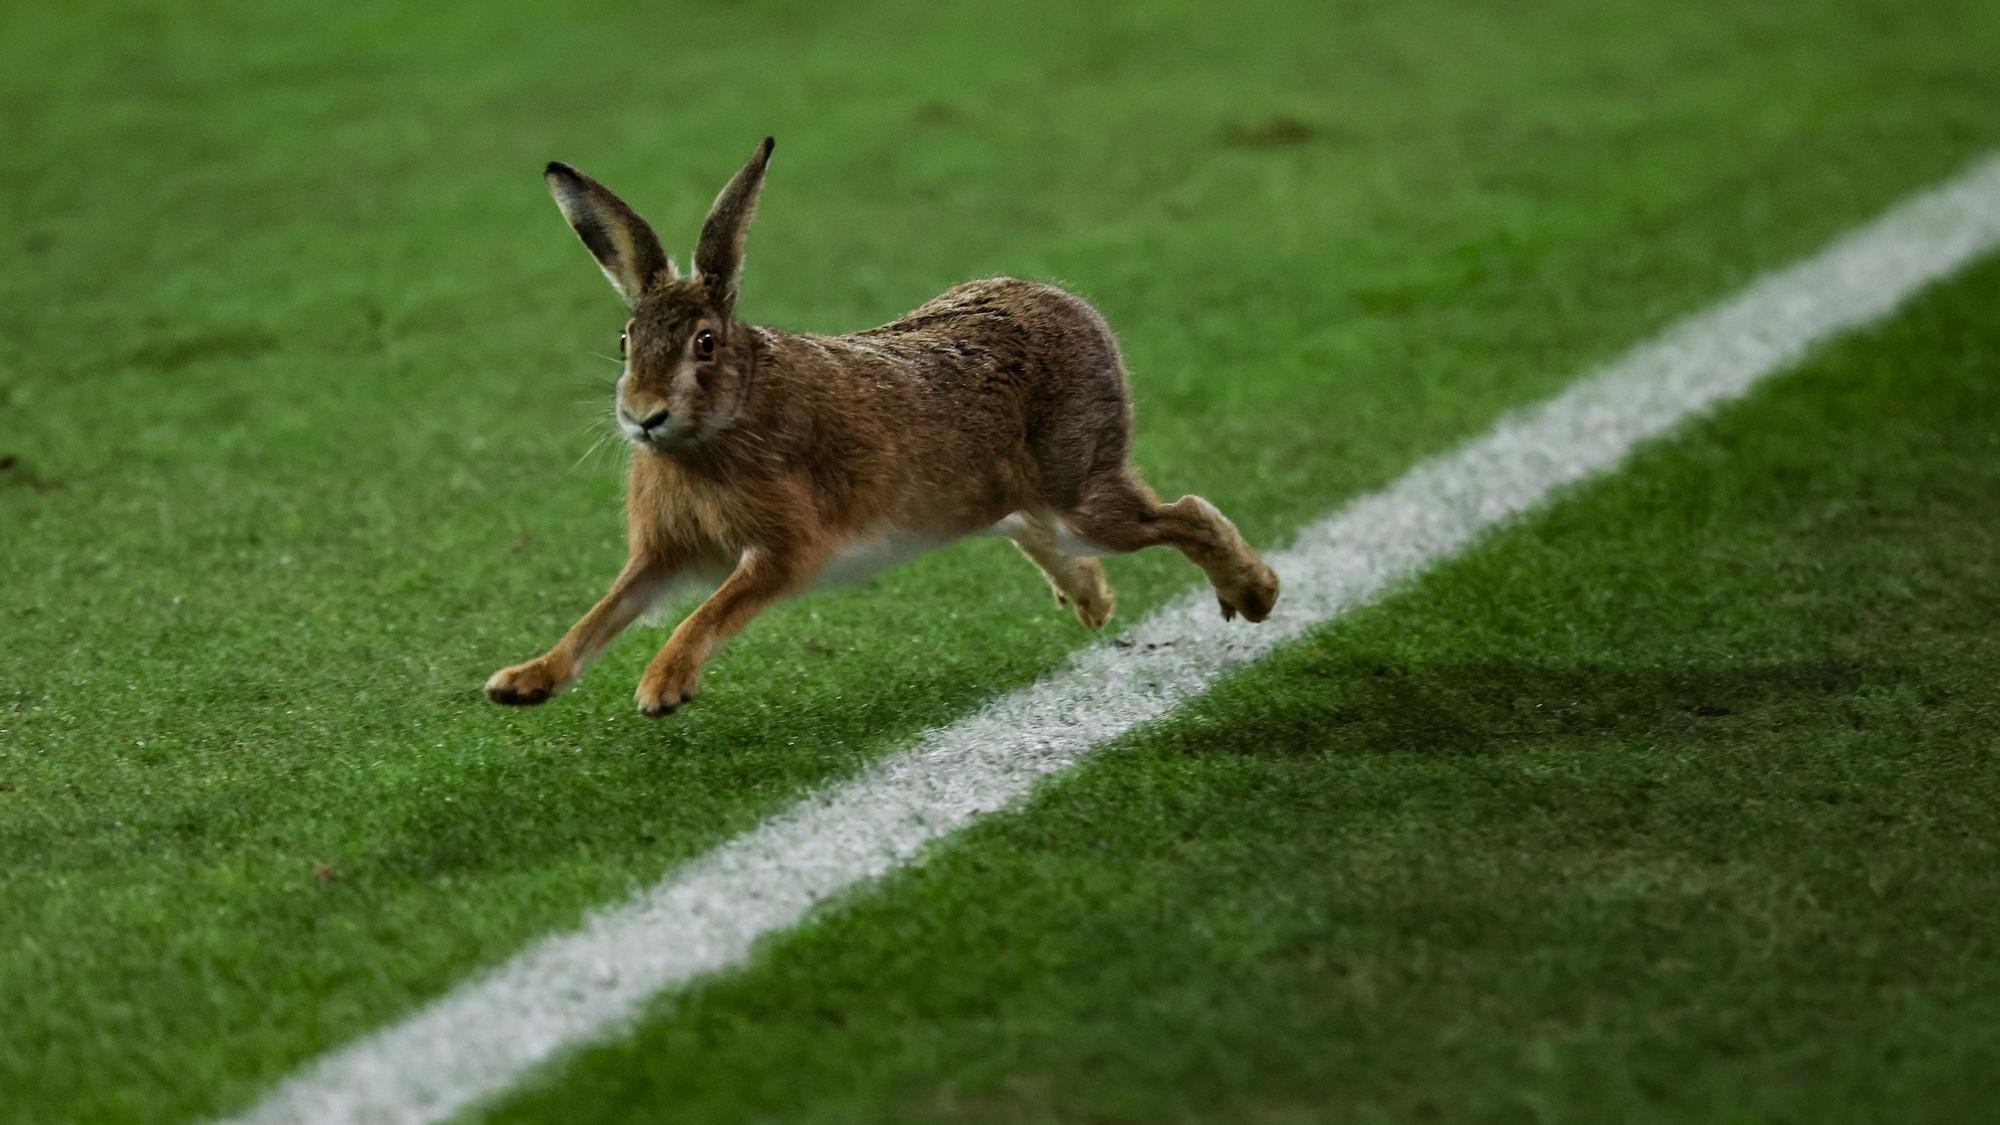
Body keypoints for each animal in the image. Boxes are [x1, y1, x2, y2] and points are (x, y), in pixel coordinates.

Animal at [485, 137, 1279, 716]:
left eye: (704, 344)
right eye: (626, 339)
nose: (642, 415)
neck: (725, 420)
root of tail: (1071, 307)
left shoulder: (783, 550)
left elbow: (710, 610)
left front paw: (661, 687)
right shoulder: (663, 554)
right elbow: (603, 613)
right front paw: (524, 681)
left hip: (1079, 486)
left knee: (1182, 513)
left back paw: (1255, 593)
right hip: (1000, 498)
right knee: (1034, 527)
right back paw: (1093, 601)